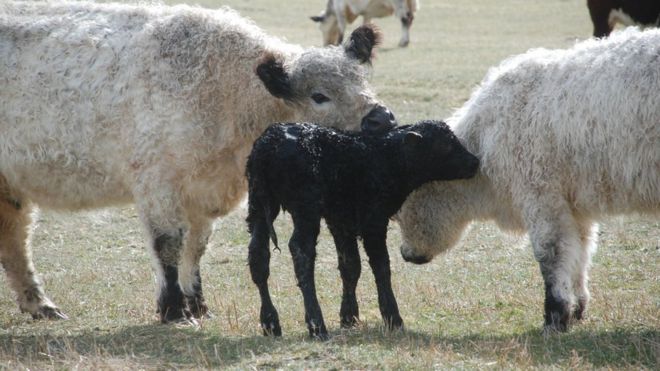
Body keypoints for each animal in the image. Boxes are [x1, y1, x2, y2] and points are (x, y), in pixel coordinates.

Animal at [0, 0, 398, 326]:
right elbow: (169, 244)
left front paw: (197, 303)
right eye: (319, 96)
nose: (382, 118)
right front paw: (175, 309)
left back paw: (40, 305)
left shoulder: (203, 192)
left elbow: (197, 246)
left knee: (14, 241)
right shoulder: (159, 183)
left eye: (363, 82)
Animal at [398, 27, 660, 332]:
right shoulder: (573, 206)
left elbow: (551, 254)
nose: (405, 253)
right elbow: (581, 253)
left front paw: (555, 316)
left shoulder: (540, 195)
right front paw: (577, 308)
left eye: (398, 212)